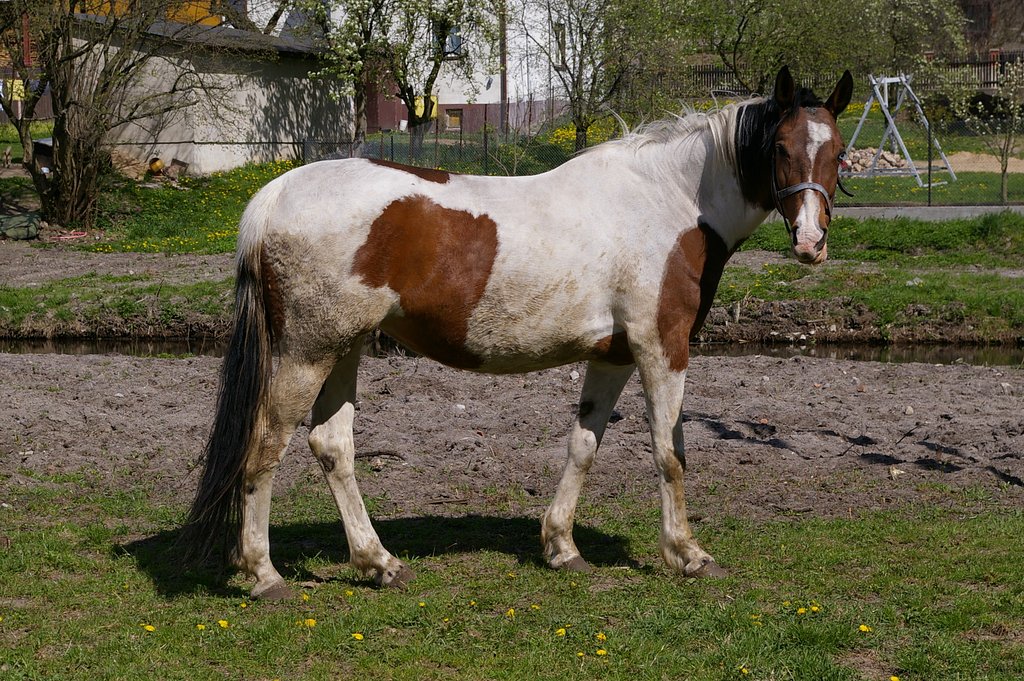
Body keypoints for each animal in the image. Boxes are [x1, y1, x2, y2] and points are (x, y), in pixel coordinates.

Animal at [183, 66, 853, 599]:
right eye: (782, 147)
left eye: (839, 151)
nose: (810, 243)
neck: (669, 202)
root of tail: (274, 195)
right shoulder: (662, 346)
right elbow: (671, 452)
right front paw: (687, 554)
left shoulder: (613, 355)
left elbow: (584, 445)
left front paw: (562, 547)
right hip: (306, 352)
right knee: (264, 447)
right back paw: (265, 576)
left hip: (342, 349)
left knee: (332, 448)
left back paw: (379, 563)